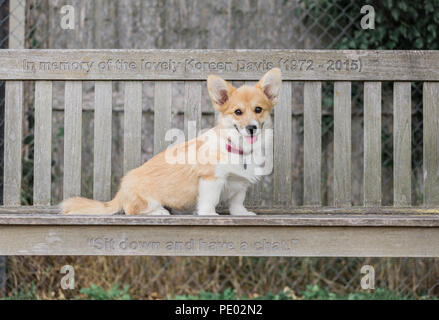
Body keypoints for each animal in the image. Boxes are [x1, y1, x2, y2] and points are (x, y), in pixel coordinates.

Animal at [61, 68, 282, 216]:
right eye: (238, 112)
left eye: (258, 109)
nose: (251, 128)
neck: (238, 147)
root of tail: (120, 193)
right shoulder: (211, 179)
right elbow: (209, 201)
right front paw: (210, 215)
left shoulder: (240, 183)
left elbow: (237, 201)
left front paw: (242, 214)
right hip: (144, 199)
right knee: (132, 209)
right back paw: (159, 212)